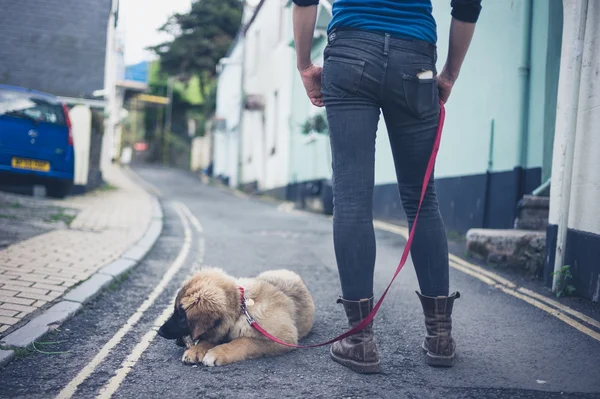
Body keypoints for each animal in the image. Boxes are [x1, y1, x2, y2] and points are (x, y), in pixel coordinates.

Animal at [159, 268, 316, 368]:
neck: (241, 308)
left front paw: (217, 352)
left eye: (181, 316)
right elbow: (209, 338)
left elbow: (243, 342)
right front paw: (196, 349)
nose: (159, 332)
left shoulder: (283, 338)